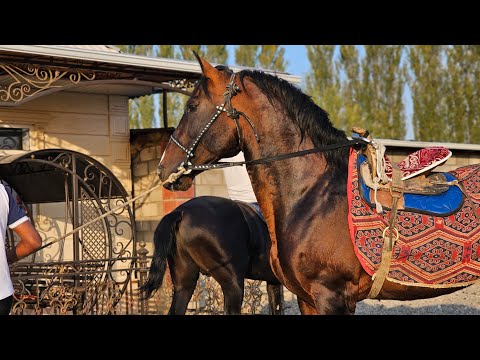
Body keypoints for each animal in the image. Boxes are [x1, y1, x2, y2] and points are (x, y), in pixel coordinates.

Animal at [156, 54, 478, 316]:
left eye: (192, 105)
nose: (164, 168)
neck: (311, 196)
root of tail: (180, 214)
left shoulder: (331, 296)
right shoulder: (307, 298)